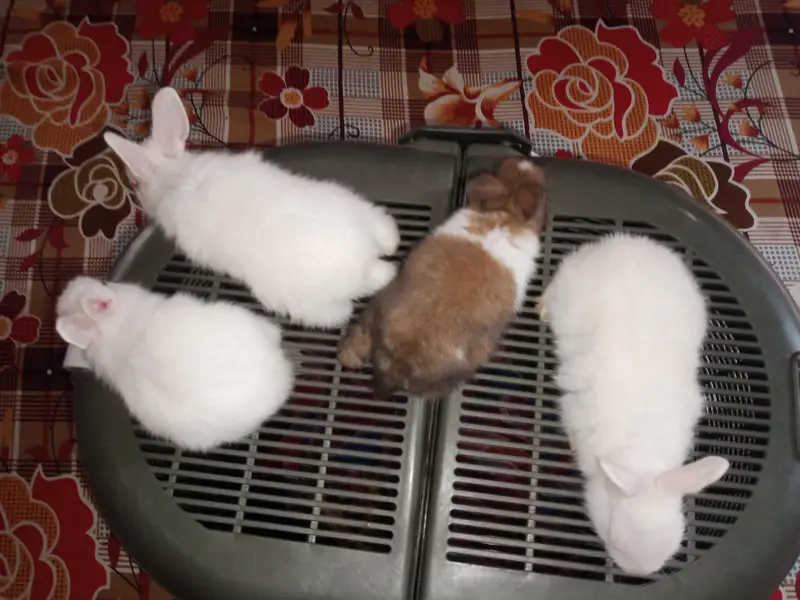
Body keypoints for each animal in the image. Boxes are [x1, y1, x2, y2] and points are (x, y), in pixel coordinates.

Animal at [538, 233, 730, 576]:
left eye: (676, 541)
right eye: (613, 536)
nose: (636, 573)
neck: (639, 453)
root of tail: (620, 241)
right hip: (566, 286)